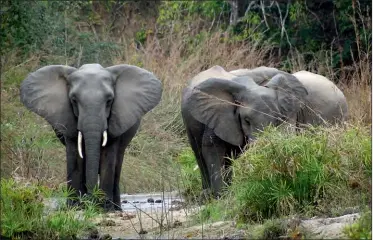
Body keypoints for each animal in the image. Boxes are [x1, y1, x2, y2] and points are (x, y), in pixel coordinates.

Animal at [20, 63, 162, 210]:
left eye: (109, 101)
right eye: (74, 100)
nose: (91, 200)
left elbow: (108, 155)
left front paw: (104, 208)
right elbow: (75, 156)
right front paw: (75, 207)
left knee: (118, 164)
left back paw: (116, 208)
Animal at [182, 64, 348, 198]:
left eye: (276, 119)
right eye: (246, 121)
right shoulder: (218, 114)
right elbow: (212, 148)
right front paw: (220, 197)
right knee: (199, 152)